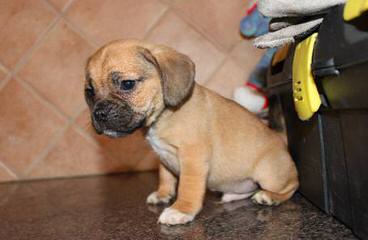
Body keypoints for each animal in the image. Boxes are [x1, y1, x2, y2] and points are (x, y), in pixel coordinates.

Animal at [85, 39, 300, 225]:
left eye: (127, 84)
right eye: (89, 92)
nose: (99, 113)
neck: (165, 115)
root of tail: (281, 140)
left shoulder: (192, 158)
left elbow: (188, 188)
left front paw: (181, 210)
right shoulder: (163, 157)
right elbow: (166, 176)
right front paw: (163, 194)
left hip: (269, 174)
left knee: (292, 186)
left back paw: (269, 196)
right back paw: (233, 195)